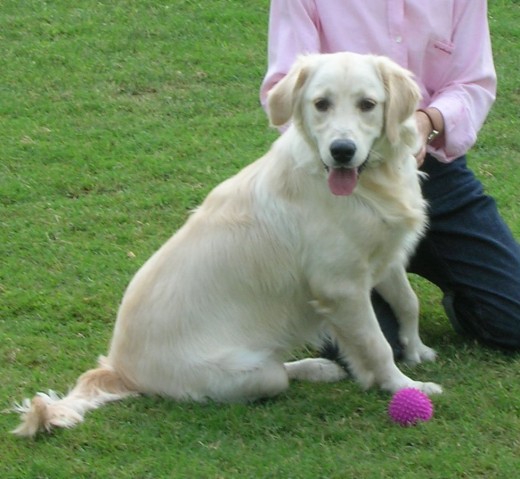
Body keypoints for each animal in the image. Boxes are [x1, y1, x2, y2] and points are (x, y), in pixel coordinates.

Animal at [12, 52, 440, 438]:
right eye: (321, 104)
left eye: (368, 104)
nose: (341, 151)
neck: (370, 184)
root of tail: (117, 368)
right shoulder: (340, 286)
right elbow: (376, 344)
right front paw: (404, 386)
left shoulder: (383, 259)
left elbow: (408, 303)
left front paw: (416, 350)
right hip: (248, 374)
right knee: (274, 375)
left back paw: (320, 367)